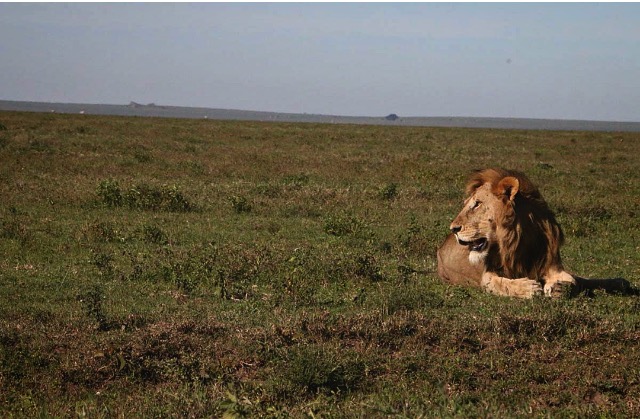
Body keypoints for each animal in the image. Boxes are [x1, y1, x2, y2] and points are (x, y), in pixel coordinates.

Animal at [437, 168, 630, 298]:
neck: (517, 240)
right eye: (467, 204)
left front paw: (560, 288)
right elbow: (500, 284)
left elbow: (572, 280)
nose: (453, 228)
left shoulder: (551, 263)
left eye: (477, 204)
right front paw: (529, 287)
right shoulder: (487, 274)